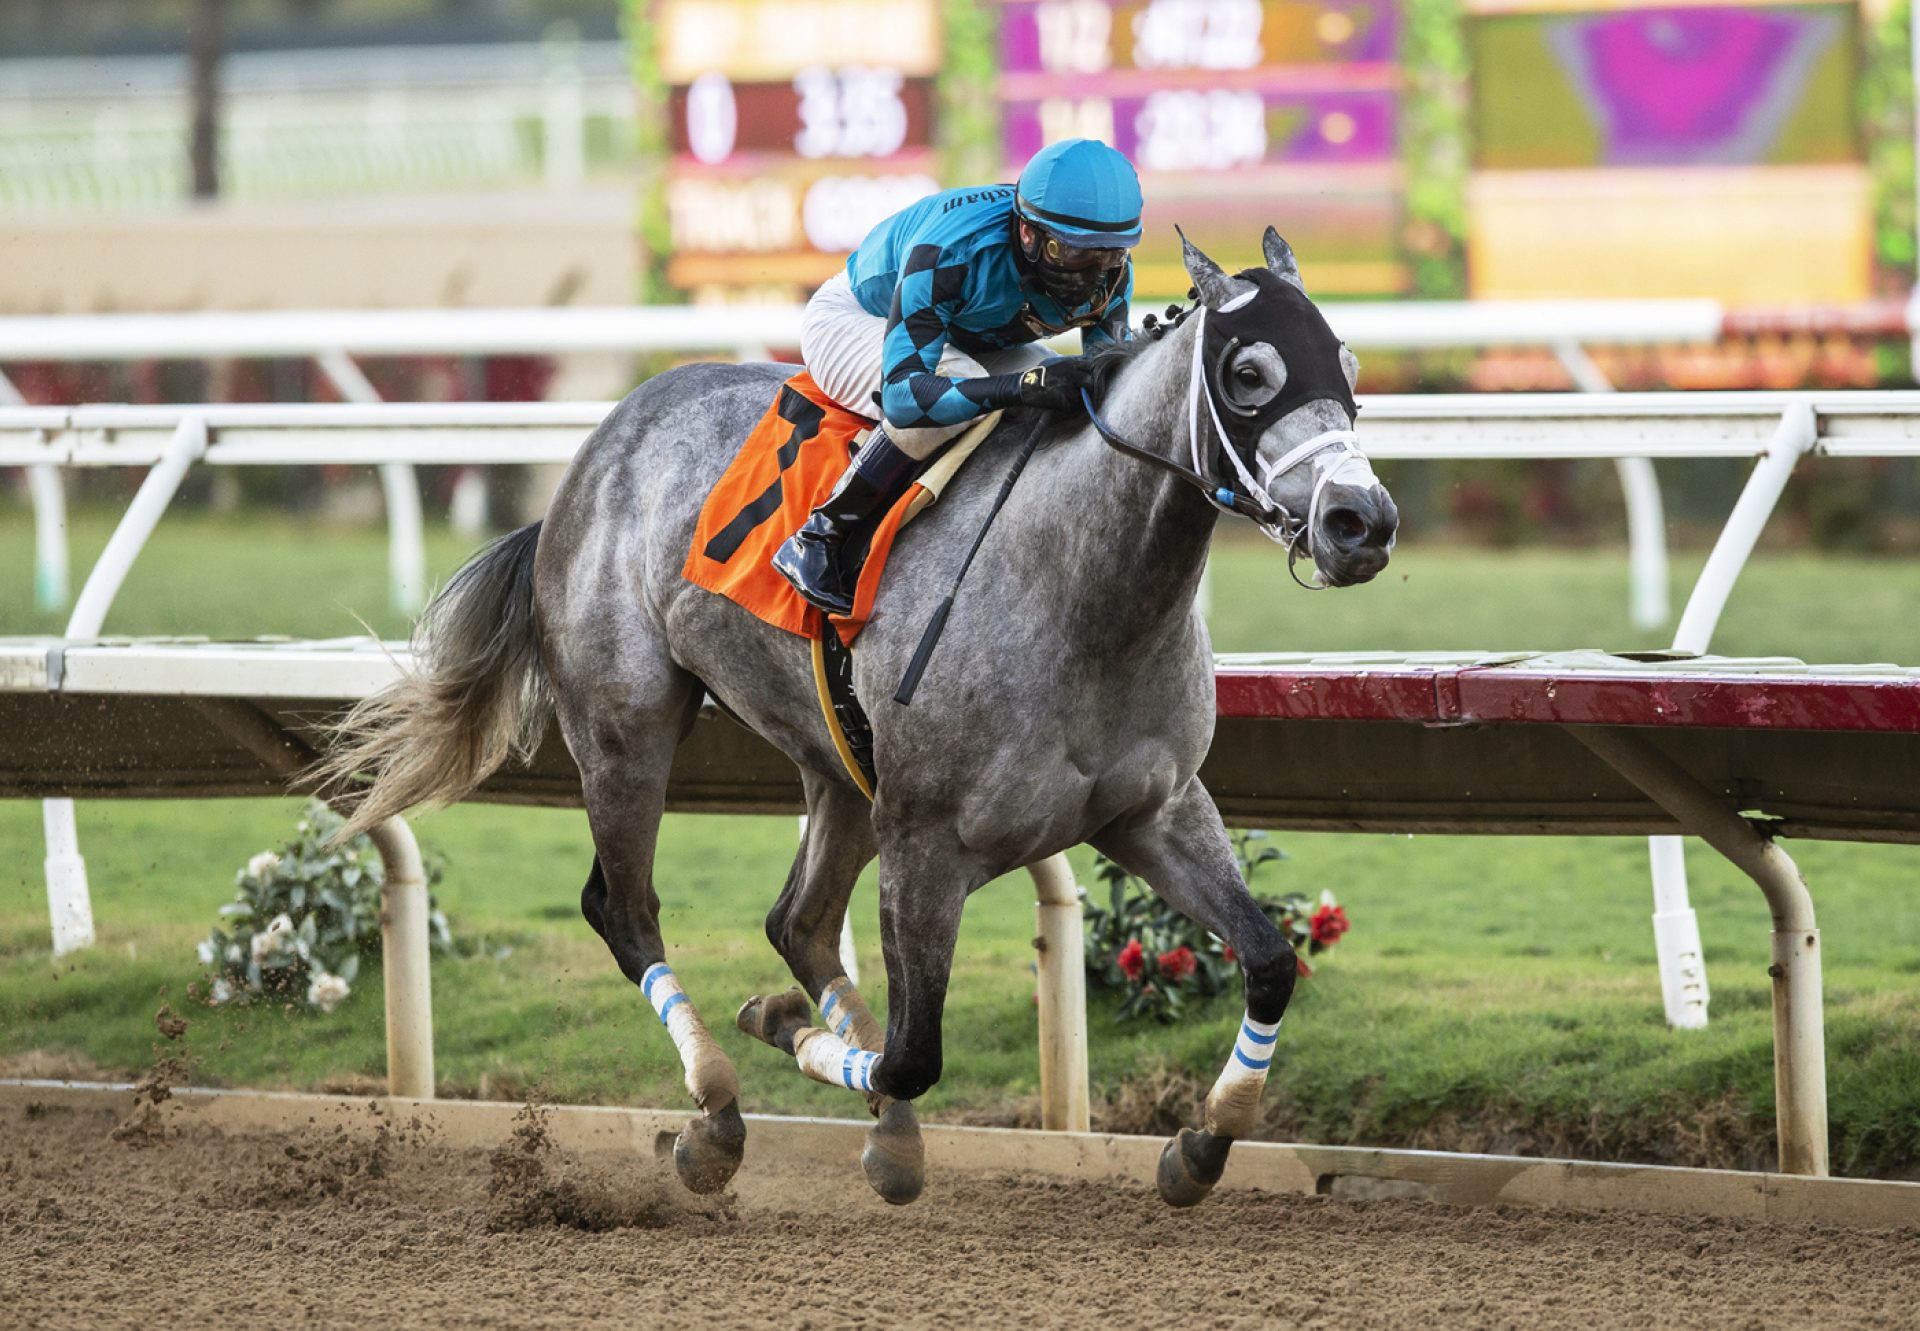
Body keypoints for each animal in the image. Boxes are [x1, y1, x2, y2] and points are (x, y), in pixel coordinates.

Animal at [314, 228, 1397, 1206]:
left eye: (1347, 365)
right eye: (1248, 373)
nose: (1363, 521)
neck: (1085, 592)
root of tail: (594, 453)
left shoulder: (1152, 810)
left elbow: (1269, 960)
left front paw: (1201, 1144)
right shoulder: (926, 838)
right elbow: (915, 1051)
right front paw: (786, 1031)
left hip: (834, 760)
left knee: (797, 918)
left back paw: (875, 1120)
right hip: (626, 727)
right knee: (627, 909)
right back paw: (717, 1113)